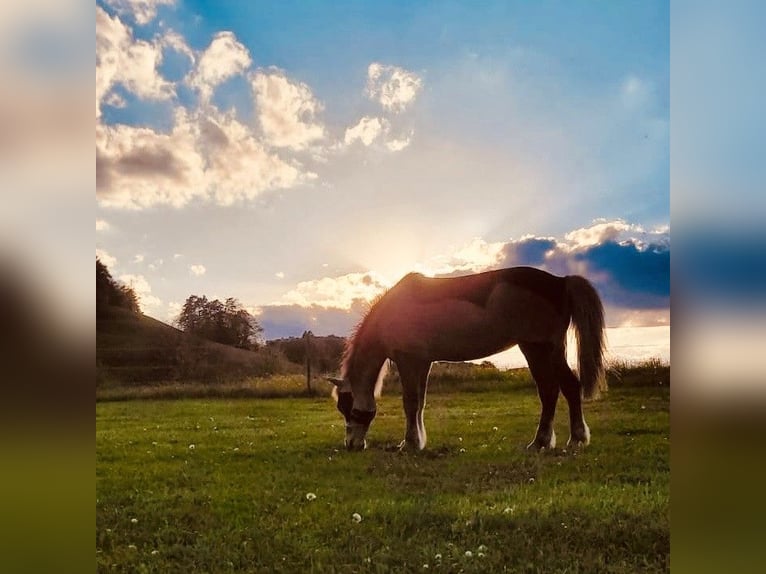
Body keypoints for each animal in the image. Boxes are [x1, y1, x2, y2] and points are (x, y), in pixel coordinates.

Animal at [328, 266, 606, 451]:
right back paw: (570, 439)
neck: (392, 313)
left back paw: (544, 442)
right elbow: (420, 403)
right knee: (568, 387)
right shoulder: (423, 363)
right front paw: (418, 442)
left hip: (537, 348)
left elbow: (410, 403)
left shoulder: (408, 361)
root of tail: (560, 282)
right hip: (550, 350)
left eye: (349, 408)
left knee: (551, 391)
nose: (352, 445)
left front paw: (408, 444)